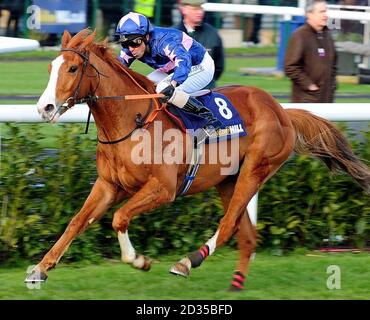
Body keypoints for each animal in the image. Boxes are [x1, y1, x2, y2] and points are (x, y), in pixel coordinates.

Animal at [26, 30, 370, 290]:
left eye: (72, 69)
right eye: (50, 68)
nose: (44, 108)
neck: (132, 120)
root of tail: (281, 110)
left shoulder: (163, 189)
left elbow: (119, 217)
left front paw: (140, 260)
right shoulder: (109, 184)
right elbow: (76, 221)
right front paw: (40, 269)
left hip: (256, 170)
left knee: (229, 224)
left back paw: (187, 262)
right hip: (228, 179)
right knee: (246, 235)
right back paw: (236, 283)